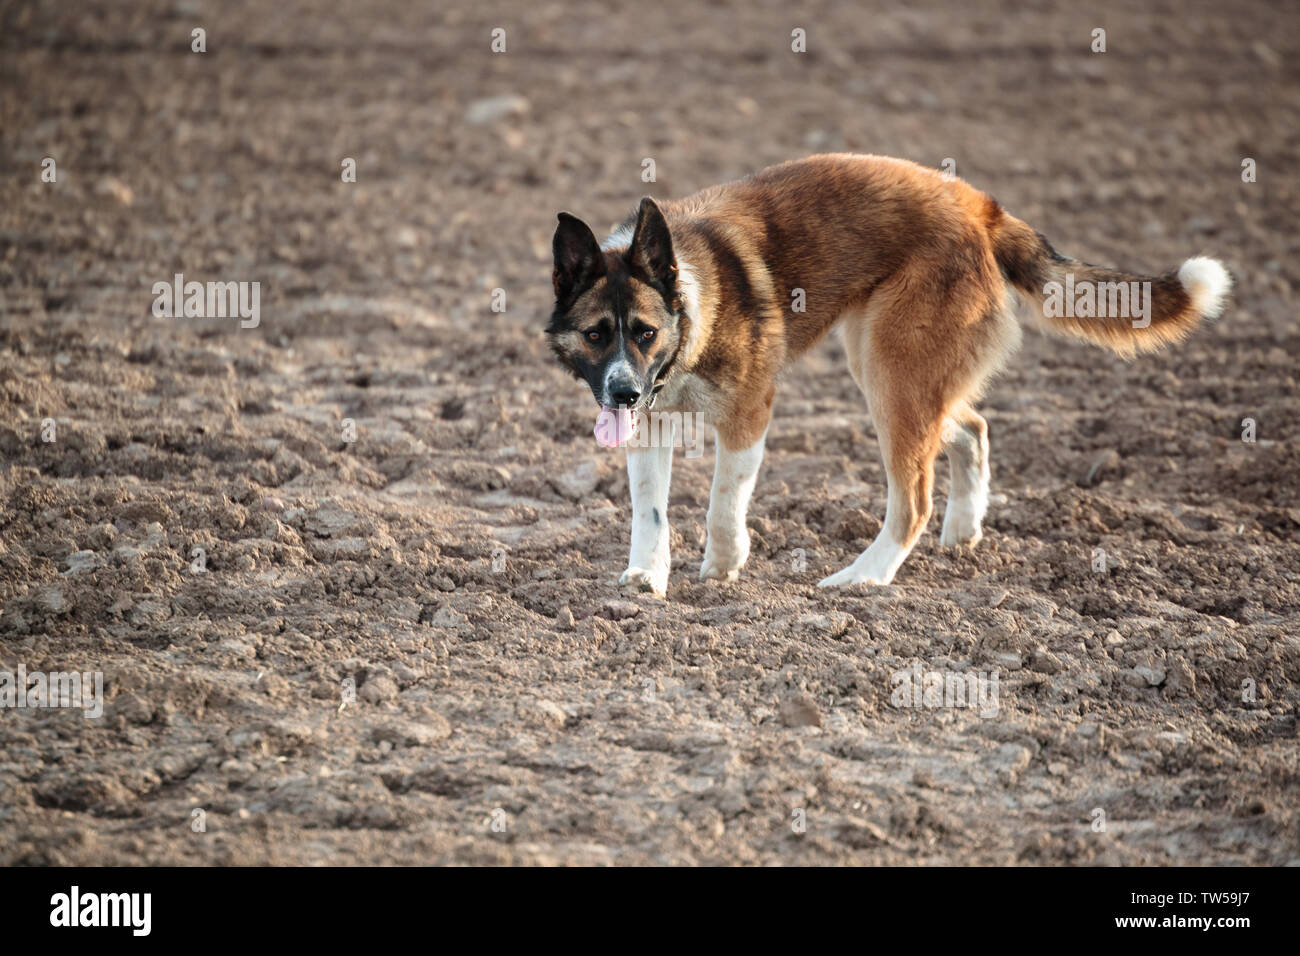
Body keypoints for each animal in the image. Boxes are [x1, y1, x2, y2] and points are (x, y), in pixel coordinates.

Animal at [543, 152, 1232, 595]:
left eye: (645, 333)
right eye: (597, 335)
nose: (623, 391)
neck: (690, 301)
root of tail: (981, 208)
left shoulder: (748, 414)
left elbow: (721, 500)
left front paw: (724, 565)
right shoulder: (649, 425)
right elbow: (650, 511)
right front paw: (646, 577)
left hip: (891, 372)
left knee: (914, 498)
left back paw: (864, 578)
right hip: (899, 371)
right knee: (972, 428)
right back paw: (963, 531)